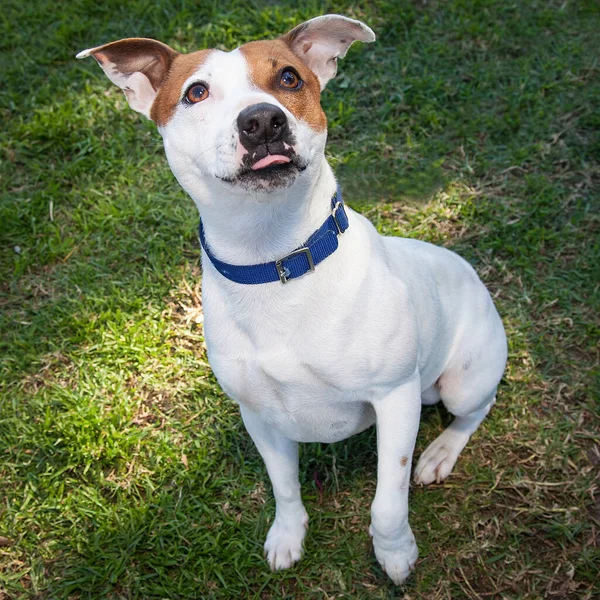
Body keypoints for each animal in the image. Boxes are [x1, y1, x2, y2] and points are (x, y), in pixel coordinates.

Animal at [76, 15, 506, 584]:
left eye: (289, 78)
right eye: (195, 92)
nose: (262, 121)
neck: (276, 258)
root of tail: (471, 274)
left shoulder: (395, 397)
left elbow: (387, 499)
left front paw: (394, 552)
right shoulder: (259, 415)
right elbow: (283, 486)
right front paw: (287, 535)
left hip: (462, 381)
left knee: (474, 410)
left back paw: (439, 453)